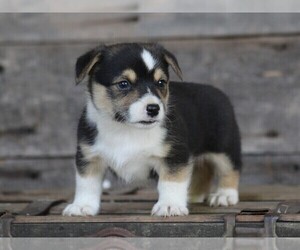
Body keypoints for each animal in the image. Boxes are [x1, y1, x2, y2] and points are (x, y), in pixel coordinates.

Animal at [63, 43, 241, 217]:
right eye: (123, 84)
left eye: (161, 82)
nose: (154, 109)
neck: (126, 128)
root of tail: (219, 93)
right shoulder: (89, 158)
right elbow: (87, 184)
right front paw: (82, 206)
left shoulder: (175, 156)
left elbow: (171, 182)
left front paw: (170, 205)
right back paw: (193, 195)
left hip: (224, 148)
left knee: (230, 169)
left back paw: (224, 195)